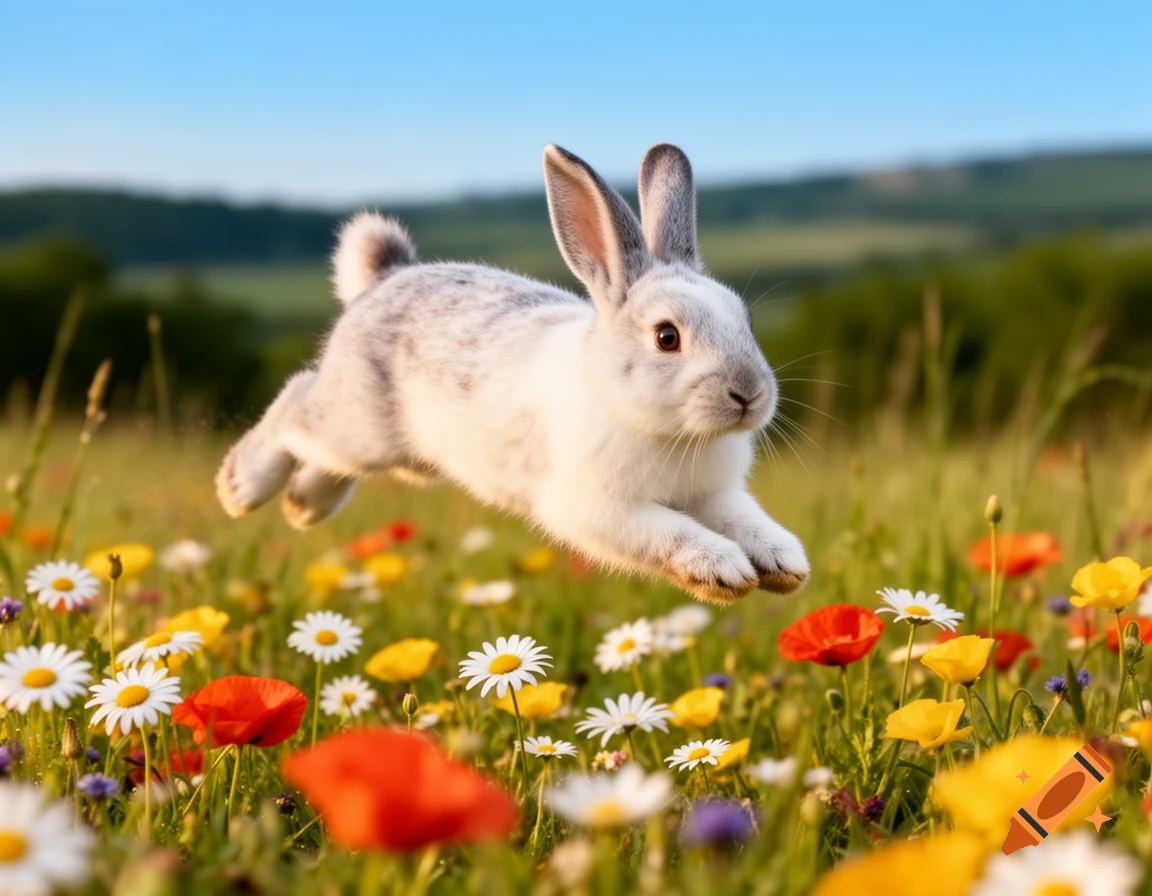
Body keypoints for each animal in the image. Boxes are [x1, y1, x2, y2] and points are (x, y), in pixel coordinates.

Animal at [216, 143, 809, 604]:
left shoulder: (716, 496)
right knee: (295, 406)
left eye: (744, 319)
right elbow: (672, 534)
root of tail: (386, 277)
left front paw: (785, 567)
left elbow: (749, 522)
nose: (749, 395)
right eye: (668, 337)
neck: (659, 425)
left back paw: (302, 507)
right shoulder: (596, 509)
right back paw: (241, 490)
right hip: (356, 427)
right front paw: (724, 571)